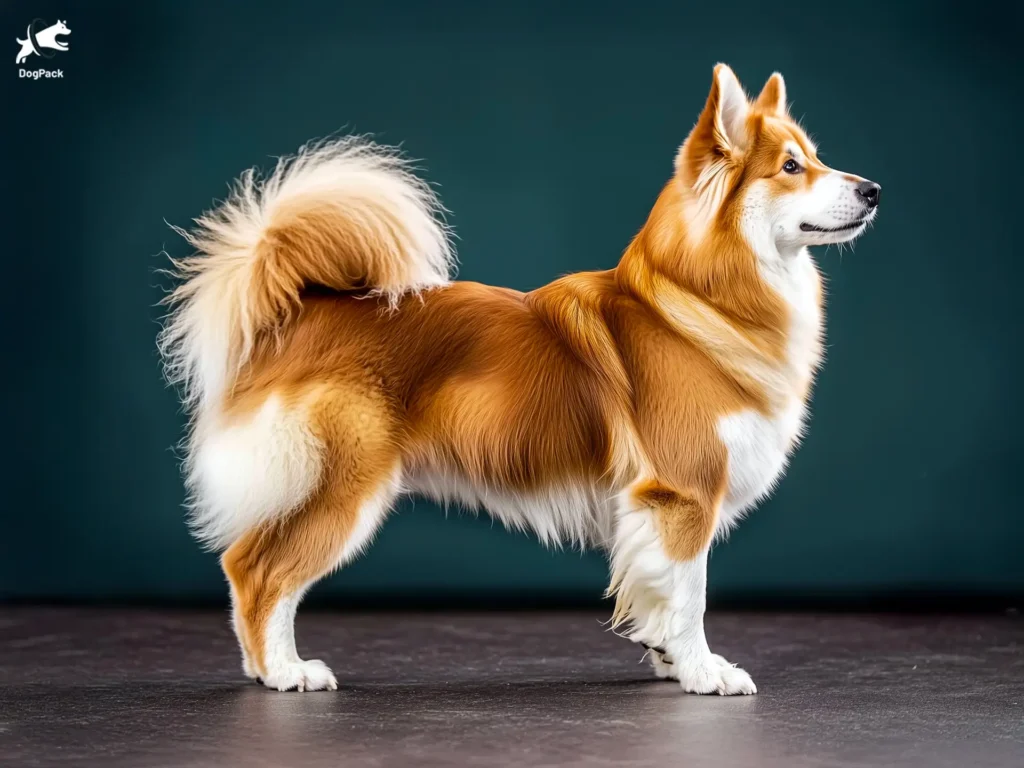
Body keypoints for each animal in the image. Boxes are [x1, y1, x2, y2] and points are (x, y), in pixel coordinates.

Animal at [159, 63, 880, 696]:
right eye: (791, 168)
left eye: (816, 158)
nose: (873, 189)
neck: (698, 300)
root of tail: (297, 305)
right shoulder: (681, 494)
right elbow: (690, 596)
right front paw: (705, 675)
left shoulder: (653, 510)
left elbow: (657, 597)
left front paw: (671, 662)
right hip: (343, 482)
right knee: (257, 570)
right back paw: (284, 672)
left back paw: (264, 669)